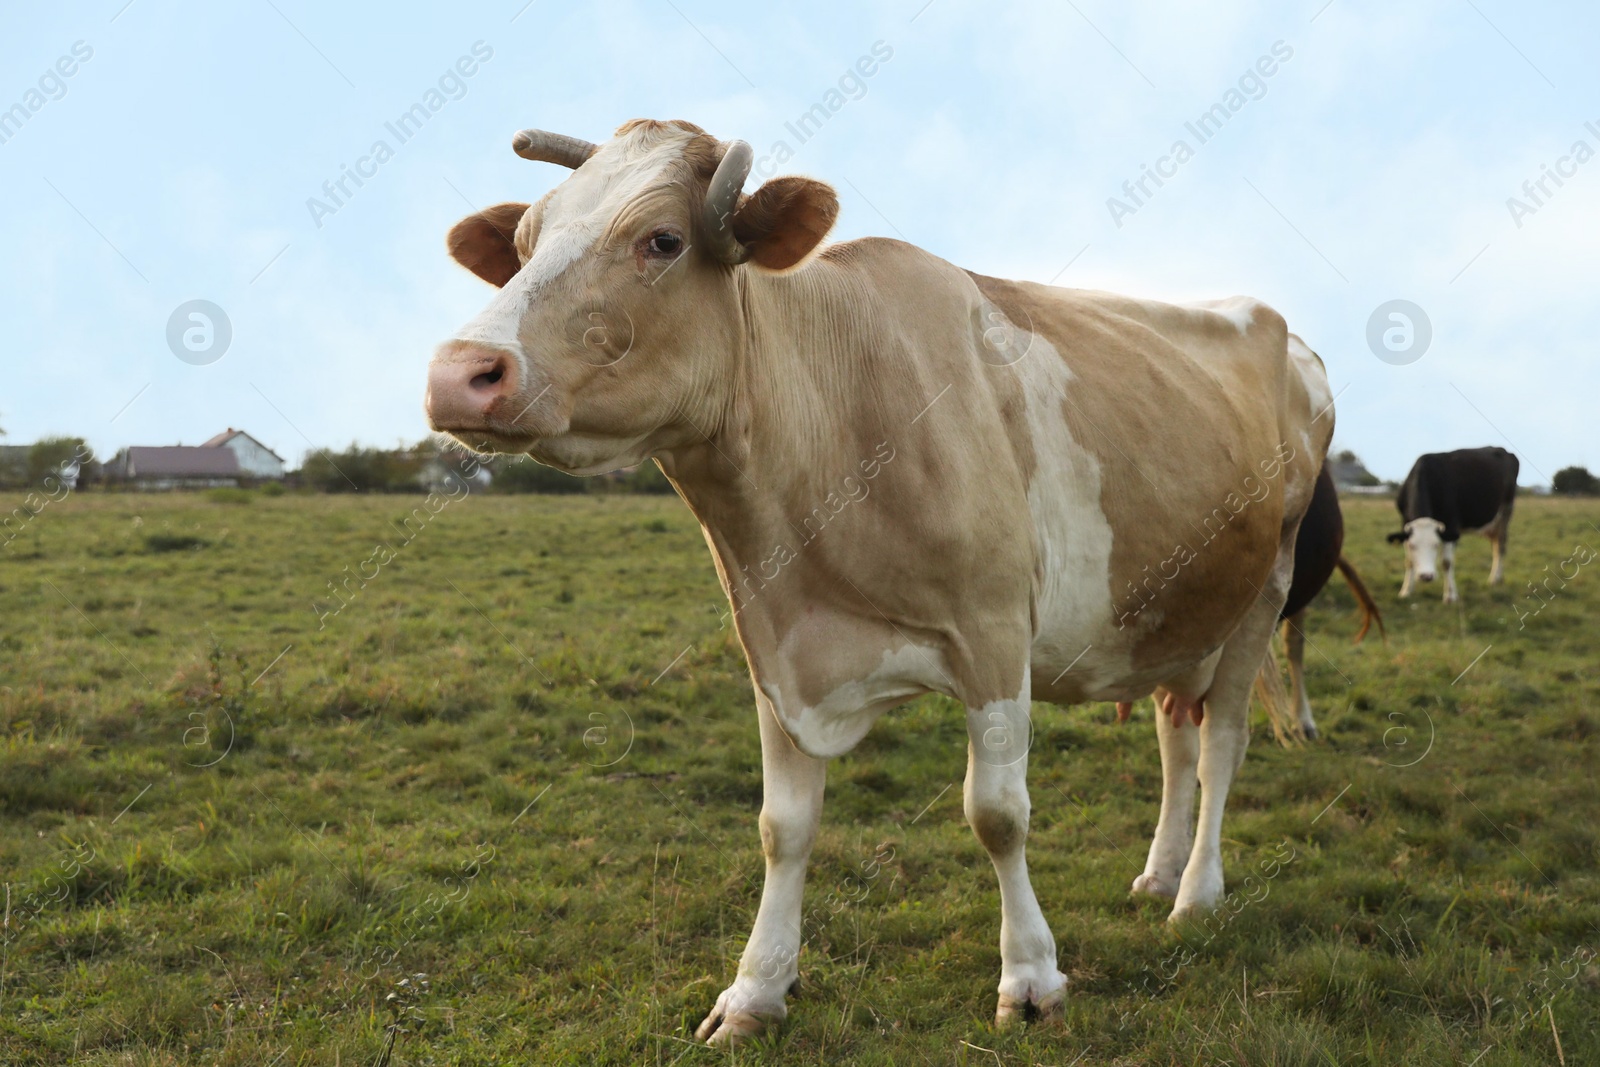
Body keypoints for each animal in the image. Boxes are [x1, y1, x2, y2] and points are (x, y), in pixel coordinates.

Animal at [425, 119, 1337, 1043]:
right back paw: (1157, 873)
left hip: (1265, 588)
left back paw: (1196, 893)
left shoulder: (994, 633)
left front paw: (1031, 976)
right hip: (1171, 607)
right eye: (525, 242)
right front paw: (754, 990)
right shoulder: (773, 646)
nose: (461, 370)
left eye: (663, 240)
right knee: (1175, 731)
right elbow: (782, 826)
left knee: (1222, 742)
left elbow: (997, 813)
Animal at [1382, 447, 1516, 604]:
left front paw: (1450, 596)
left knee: (1500, 546)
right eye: (1412, 546)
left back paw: (1494, 579)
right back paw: (1497, 578)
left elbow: (1446, 563)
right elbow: (1409, 561)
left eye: (1436, 545)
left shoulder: (1451, 526)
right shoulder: (1404, 523)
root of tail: (1502, 450)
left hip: (1506, 511)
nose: (1426, 576)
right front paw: (1406, 591)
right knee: (1495, 545)